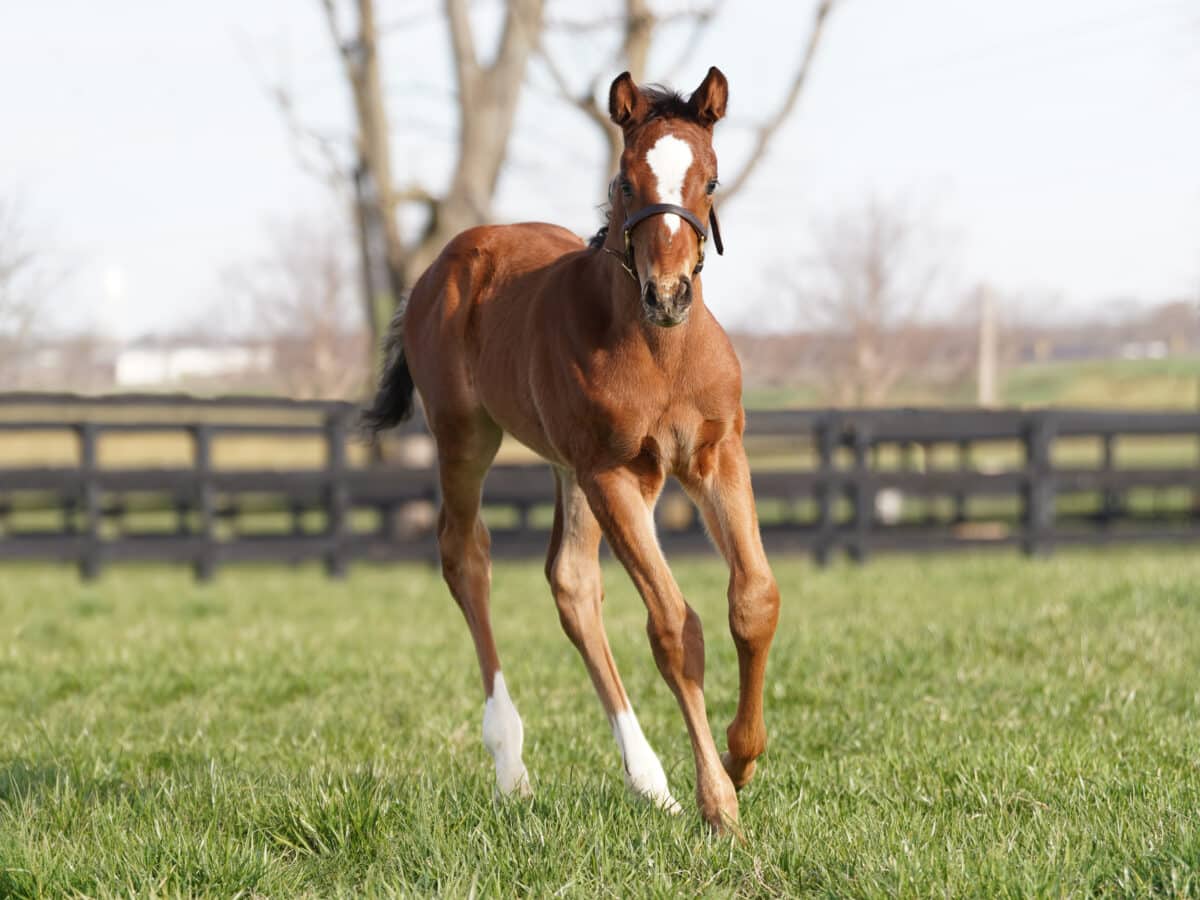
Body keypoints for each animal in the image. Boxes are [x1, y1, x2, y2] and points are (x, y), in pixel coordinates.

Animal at [362, 66, 777, 835]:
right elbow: (675, 628)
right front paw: (719, 805)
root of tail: (443, 264)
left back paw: (650, 783)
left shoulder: (714, 456)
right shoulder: (617, 474)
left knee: (572, 584)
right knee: (466, 558)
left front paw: (741, 760)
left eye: (710, 179)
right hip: (469, 438)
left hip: (566, 468)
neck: (661, 352)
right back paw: (513, 766)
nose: (668, 294)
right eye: (625, 183)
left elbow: (754, 601)